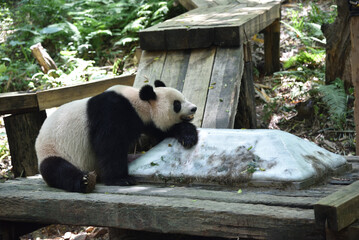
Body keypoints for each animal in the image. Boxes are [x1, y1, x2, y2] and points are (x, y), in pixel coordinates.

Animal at [35, 80, 198, 193]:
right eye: (177, 104)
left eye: (184, 98)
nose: (194, 108)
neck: (137, 103)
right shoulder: (111, 112)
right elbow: (109, 146)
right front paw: (121, 179)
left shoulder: (143, 121)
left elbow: (162, 130)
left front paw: (188, 136)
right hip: (53, 150)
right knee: (58, 169)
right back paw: (85, 181)